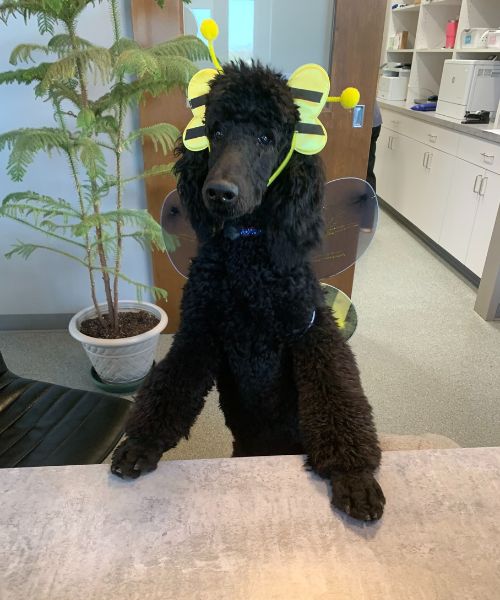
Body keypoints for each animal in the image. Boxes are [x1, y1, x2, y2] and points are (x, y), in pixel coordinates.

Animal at [112, 62, 386, 520]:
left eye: (266, 138)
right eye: (217, 131)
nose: (219, 193)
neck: (248, 258)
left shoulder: (311, 331)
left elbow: (337, 393)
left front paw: (354, 475)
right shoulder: (200, 330)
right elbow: (170, 384)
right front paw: (140, 443)